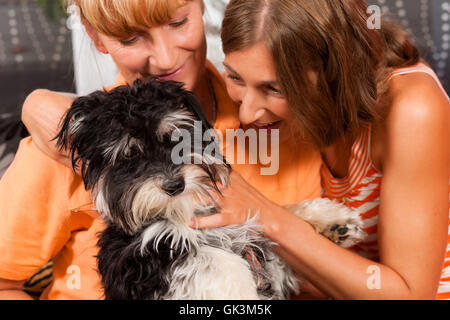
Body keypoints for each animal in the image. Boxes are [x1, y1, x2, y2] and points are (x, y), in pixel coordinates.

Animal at [57, 77, 366, 300]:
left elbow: (279, 219)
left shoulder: (266, 260)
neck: (185, 213)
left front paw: (332, 221)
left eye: (176, 139)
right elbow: (215, 262)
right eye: (130, 154)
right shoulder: (141, 260)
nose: (174, 185)